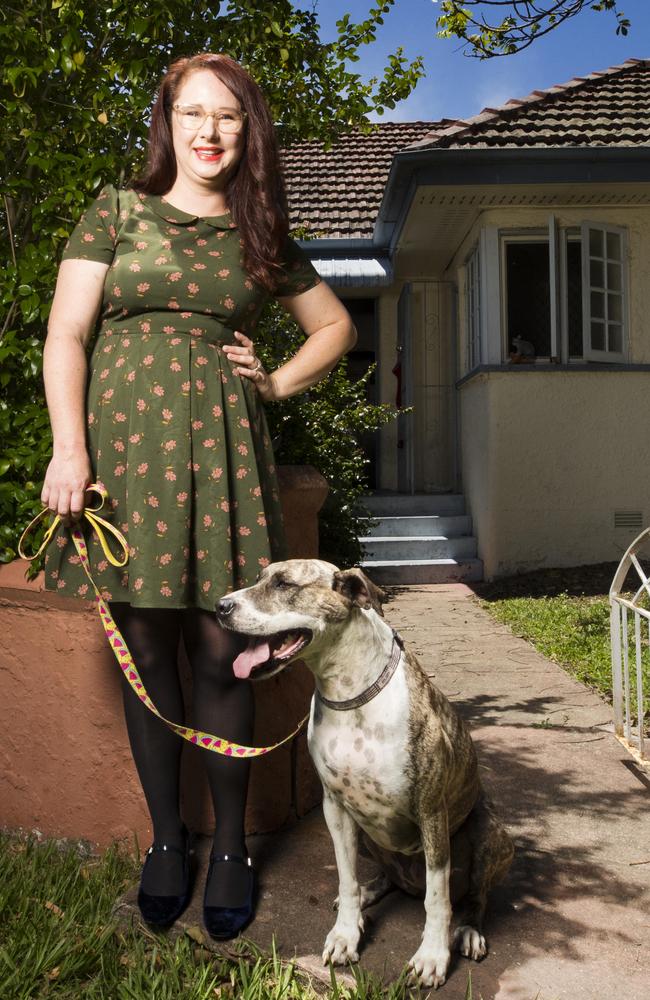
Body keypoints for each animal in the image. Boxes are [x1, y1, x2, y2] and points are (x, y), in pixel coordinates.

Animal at [216, 560, 512, 988]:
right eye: (259, 578)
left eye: (284, 584)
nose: (220, 606)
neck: (348, 693)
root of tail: (409, 881)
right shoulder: (336, 809)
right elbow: (345, 874)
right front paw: (346, 932)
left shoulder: (432, 813)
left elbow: (438, 897)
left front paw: (432, 956)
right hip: (370, 834)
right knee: (385, 876)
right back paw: (370, 894)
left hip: (490, 832)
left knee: (473, 896)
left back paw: (469, 930)